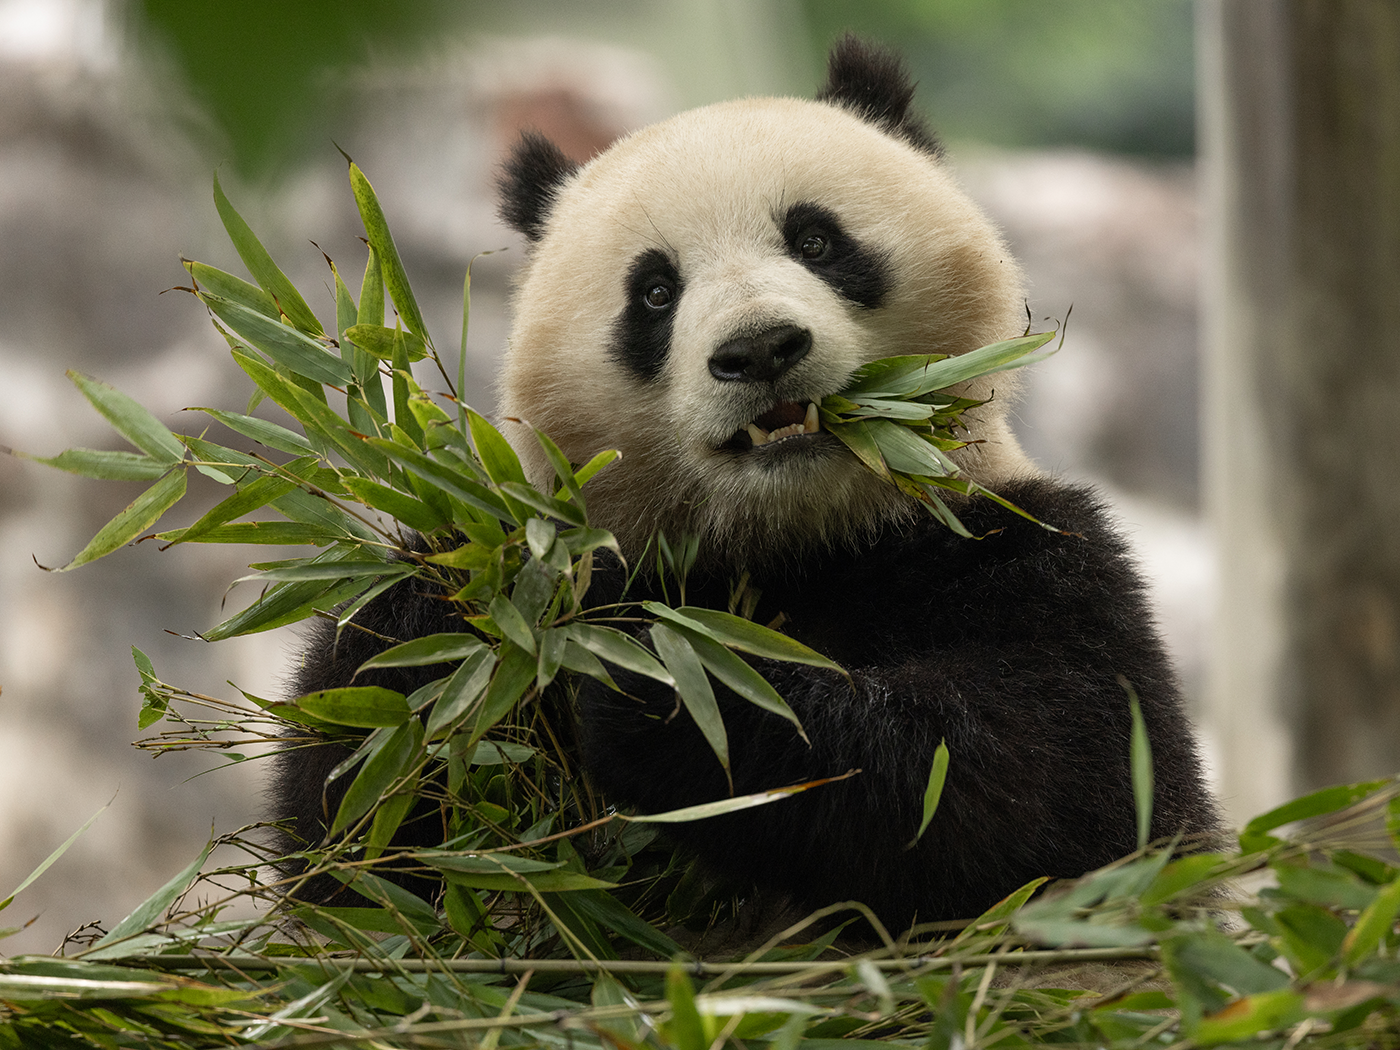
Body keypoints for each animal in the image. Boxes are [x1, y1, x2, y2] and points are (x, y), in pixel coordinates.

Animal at [273, 37, 1215, 935]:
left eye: (816, 241)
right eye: (655, 291)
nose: (760, 349)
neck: (796, 536)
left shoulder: (1023, 549)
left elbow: (1055, 787)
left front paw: (664, 687)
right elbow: (359, 847)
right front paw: (444, 618)